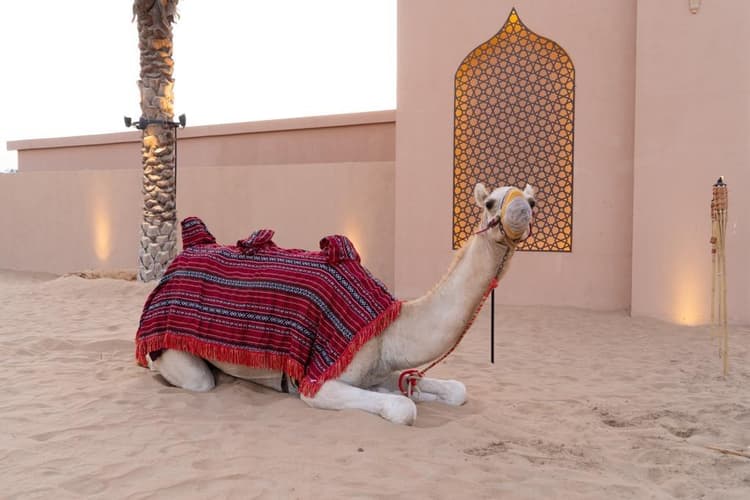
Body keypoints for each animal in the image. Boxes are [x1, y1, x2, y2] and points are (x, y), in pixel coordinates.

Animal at [146, 182, 536, 425]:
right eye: (490, 202)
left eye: (533, 201)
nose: (521, 208)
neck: (389, 329)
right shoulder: (319, 382)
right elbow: (401, 407)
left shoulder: (380, 365)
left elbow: (455, 390)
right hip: (174, 352)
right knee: (194, 378)